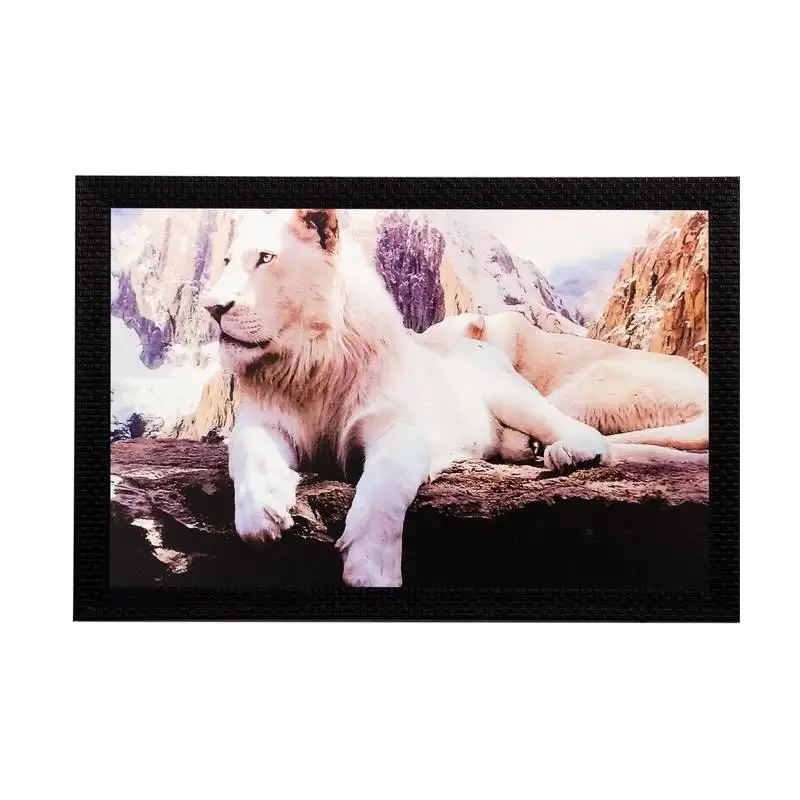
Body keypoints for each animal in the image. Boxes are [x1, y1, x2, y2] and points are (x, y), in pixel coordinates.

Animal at [201, 208, 706, 588]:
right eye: (225, 260)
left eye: (266, 258)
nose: (212, 307)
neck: (307, 362)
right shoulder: (265, 422)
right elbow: (248, 453)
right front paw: (262, 514)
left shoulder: (398, 427)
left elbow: (384, 489)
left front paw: (370, 567)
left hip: (525, 393)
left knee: (582, 432)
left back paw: (568, 453)